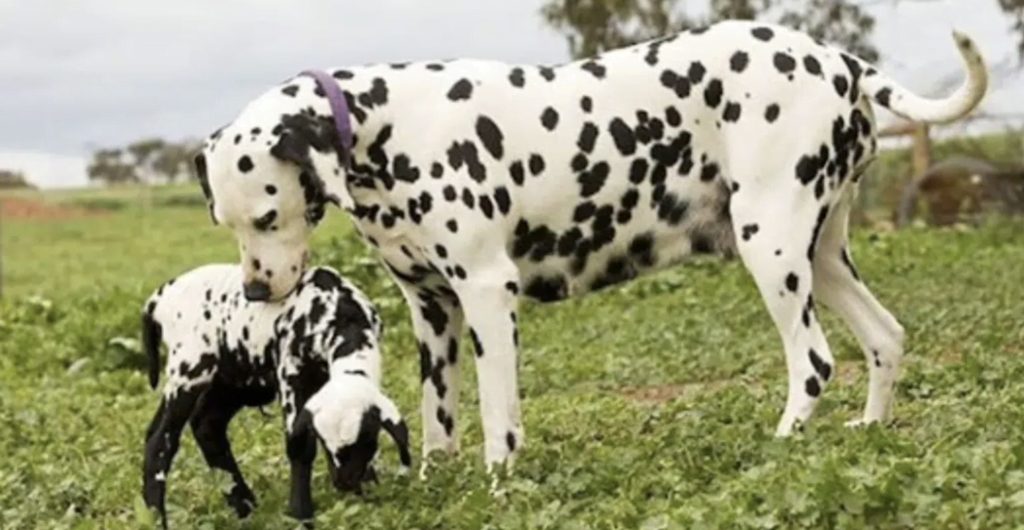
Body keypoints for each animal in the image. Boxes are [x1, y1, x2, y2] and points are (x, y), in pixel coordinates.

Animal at [141, 263, 411, 527]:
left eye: (368, 438)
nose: (346, 482)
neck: (340, 313)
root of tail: (159, 296)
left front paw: (366, 500)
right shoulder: (290, 374)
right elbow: (300, 447)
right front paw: (300, 515)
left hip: (233, 377)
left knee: (206, 424)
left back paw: (246, 507)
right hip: (189, 368)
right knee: (160, 440)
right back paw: (156, 518)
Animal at [190, 19, 983, 478]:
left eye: (267, 214)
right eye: (224, 221)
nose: (256, 289)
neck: (386, 126)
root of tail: (835, 56)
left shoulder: (486, 295)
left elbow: (497, 416)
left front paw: (498, 482)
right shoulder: (433, 310)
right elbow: (437, 413)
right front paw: (438, 480)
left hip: (775, 251)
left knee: (814, 361)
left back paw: (785, 440)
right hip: (821, 256)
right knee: (885, 338)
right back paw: (869, 428)